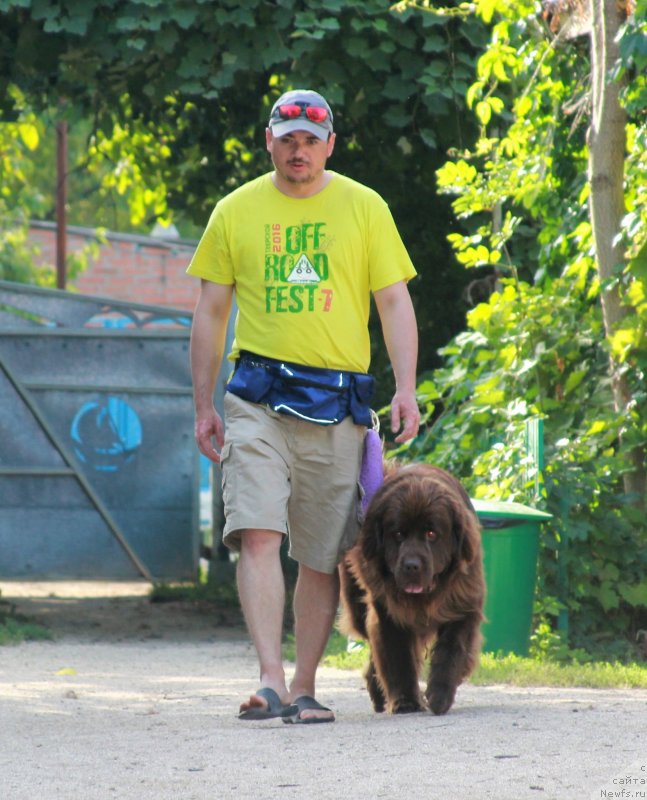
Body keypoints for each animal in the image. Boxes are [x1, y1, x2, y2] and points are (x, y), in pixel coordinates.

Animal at [340, 462, 486, 720]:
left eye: (431, 534)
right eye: (398, 534)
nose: (411, 566)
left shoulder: (464, 603)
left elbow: (452, 650)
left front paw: (440, 695)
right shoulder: (387, 611)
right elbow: (396, 655)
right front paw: (405, 702)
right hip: (358, 608)